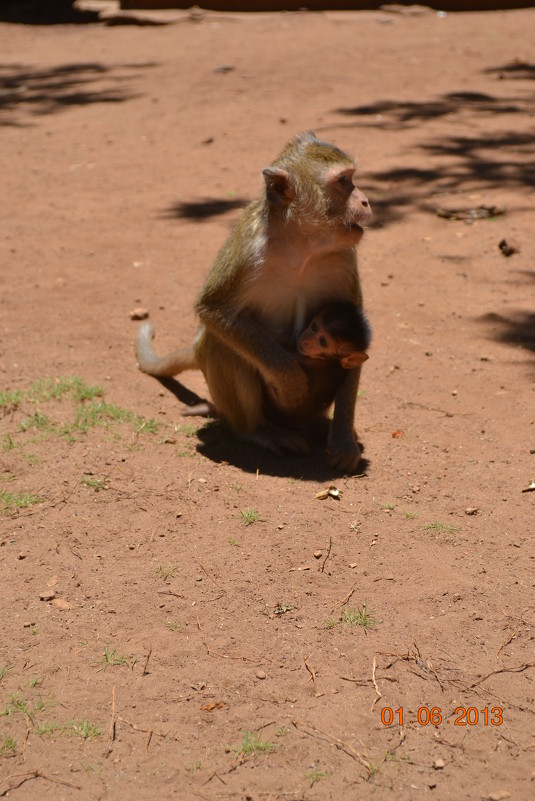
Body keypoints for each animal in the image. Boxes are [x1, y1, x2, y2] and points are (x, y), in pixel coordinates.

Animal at [137, 130, 372, 468]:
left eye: (352, 178)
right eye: (343, 182)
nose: (366, 200)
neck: (300, 246)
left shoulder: (344, 259)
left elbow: (356, 333)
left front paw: (342, 439)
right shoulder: (247, 251)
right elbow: (214, 310)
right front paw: (290, 382)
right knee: (221, 344)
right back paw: (260, 431)